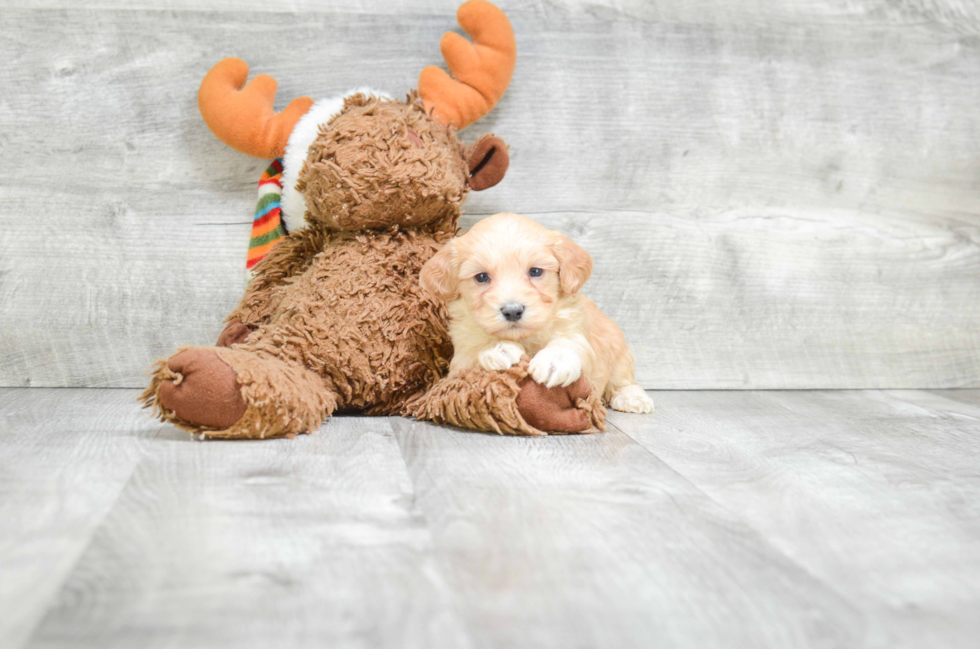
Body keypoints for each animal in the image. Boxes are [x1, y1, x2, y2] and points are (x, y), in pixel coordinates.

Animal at [420, 214, 656, 416]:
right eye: (481, 277)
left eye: (535, 271)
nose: (512, 310)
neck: (526, 337)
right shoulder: (459, 360)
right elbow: (473, 355)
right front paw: (497, 348)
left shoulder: (577, 333)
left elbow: (570, 343)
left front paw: (555, 361)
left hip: (618, 350)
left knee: (623, 380)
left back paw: (631, 397)